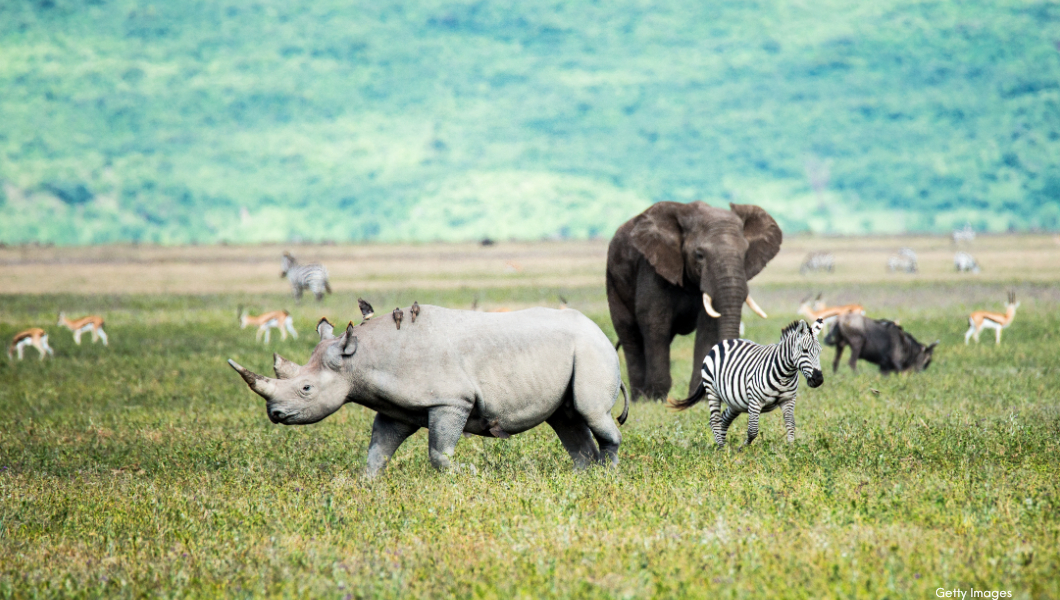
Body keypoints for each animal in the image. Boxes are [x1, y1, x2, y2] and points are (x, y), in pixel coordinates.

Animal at [228, 305, 629, 476]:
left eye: (306, 388)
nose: (275, 415)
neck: (358, 360)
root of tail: (598, 330)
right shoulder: (394, 408)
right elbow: (378, 449)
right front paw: (367, 484)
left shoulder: (450, 401)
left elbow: (439, 452)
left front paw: (467, 474)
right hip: (575, 352)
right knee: (567, 419)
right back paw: (582, 476)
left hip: (592, 350)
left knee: (590, 412)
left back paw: (607, 476)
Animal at [606, 201, 783, 401]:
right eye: (699, 255)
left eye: (745, 255)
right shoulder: (651, 266)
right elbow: (655, 321)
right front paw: (656, 399)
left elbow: (708, 327)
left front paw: (701, 397)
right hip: (613, 280)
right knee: (630, 333)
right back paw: (638, 399)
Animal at [672, 319, 825, 448]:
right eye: (804, 350)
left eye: (820, 352)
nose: (818, 379)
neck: (784, 374)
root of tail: (725, 342)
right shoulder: (755, 401)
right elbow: (752, 430)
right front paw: (743, 448)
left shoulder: (788, 400)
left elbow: (791, 424)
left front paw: (791, 450)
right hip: (712, 389)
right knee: (714, 420)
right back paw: (722, 450)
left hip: (736, 401)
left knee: (724, 418)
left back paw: (725, 447)